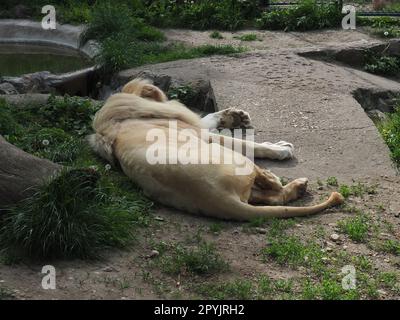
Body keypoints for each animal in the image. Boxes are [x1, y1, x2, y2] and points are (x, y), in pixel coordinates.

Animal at [88, 79, 344, 221]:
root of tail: (219, 200)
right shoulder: (199, 133)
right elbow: (244, 142)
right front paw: (281, 149)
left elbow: (209, 117)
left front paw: (235, 115)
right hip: (236, 160)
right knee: (271, 185)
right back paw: (281, 177)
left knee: (274, 197)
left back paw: (298, 187)